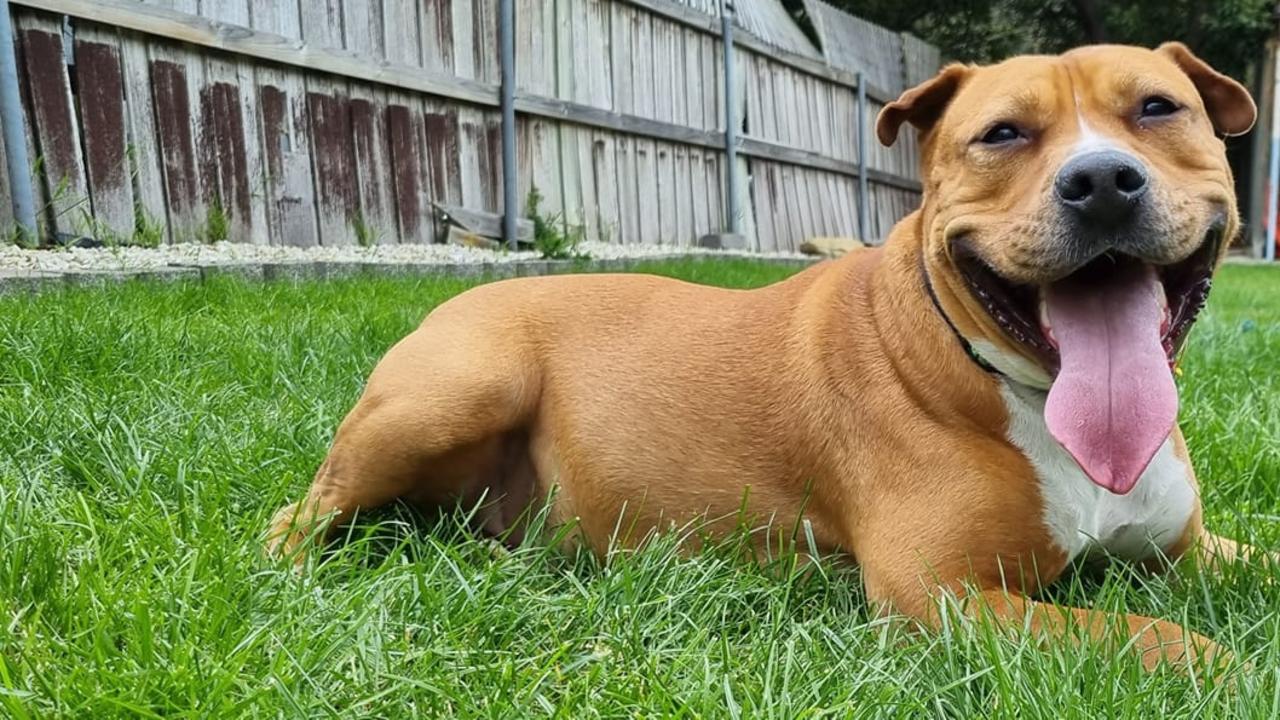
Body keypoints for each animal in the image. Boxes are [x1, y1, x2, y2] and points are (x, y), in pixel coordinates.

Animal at [275, 44, 1264, 671]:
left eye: (1158, 108)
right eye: (1002, 134)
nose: (1100, 181)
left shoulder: (1188, 547)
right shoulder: (940, 594)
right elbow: (1161, 638)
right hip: (454, 391)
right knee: (300, 513)